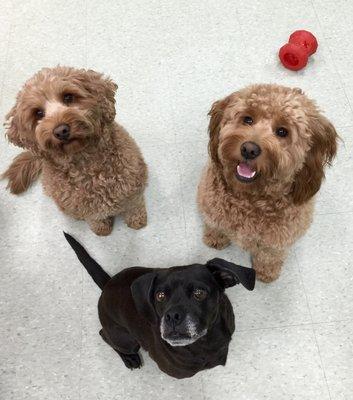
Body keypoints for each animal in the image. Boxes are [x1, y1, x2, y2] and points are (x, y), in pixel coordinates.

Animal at [2, 65, 147, 234]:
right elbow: (95, 219)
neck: (87, 164)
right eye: (38, 113)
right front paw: (102, 230)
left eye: (68, 97)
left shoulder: (132, 192)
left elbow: (134, 208)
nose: (61, 130)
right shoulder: (89, 210)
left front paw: (137, 221)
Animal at [64, 231, 256, 378]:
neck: (205, 342)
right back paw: (130, 358)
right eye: (160, 295)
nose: (172, 316)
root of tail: (107, 284)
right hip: (126, 340)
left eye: (199, 293)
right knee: (104, 334)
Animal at [197, 84, 336, 282]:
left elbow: (269, 255)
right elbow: (215, 225)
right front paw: (215, 239)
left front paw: (266, 272)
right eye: (247, 119)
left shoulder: (278, 238)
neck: (250, 198)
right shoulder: (210, 206)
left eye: (282, 132)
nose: (249, 149)